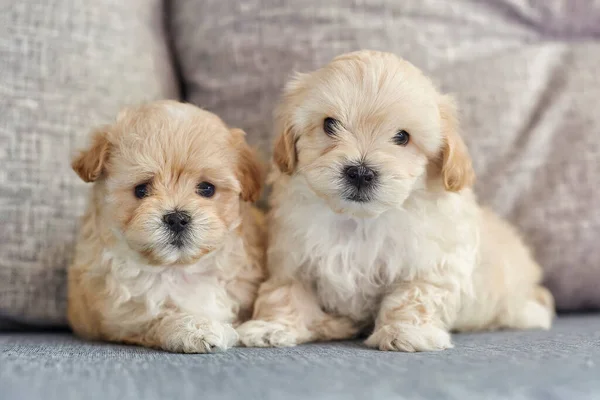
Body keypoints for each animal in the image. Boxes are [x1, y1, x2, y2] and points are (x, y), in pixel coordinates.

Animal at [68, 100, 264, 354]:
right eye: (141, 190)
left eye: (207, 188)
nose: (177, 218)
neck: (178, 268)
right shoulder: (123, 316)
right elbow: (161, 317)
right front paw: (198, 329)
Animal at [237, 50, 556, 354]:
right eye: (330, 124)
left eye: (402, 137)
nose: (360, 172)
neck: (359, 220)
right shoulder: (294, 259)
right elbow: (285, 292)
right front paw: (272, 327)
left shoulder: (430, 262)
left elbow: (413, 296)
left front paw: (406, 333)